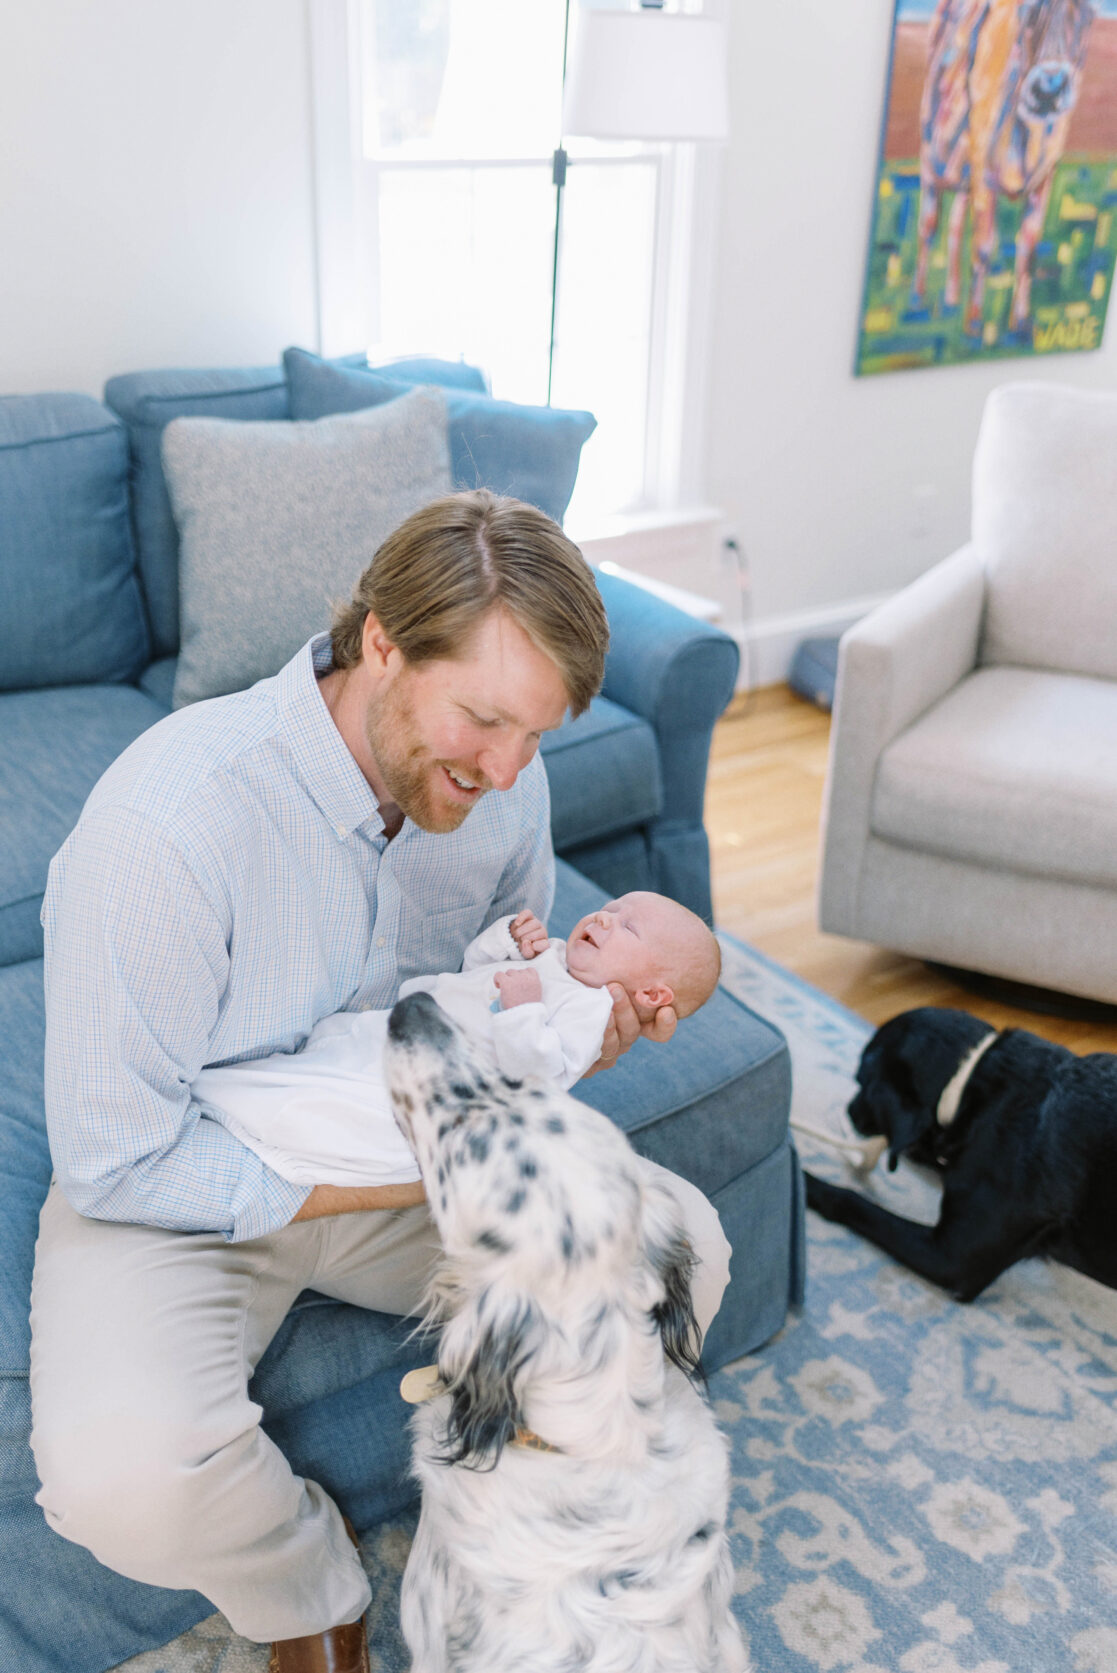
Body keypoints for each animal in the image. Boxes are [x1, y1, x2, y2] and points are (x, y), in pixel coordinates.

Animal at [805, 1003, 1117, 1304]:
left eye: (861, 1080)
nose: (849, 1110)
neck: (967, 1082)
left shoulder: (952, 1257)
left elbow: (849, 1200)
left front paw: (806, 1181)